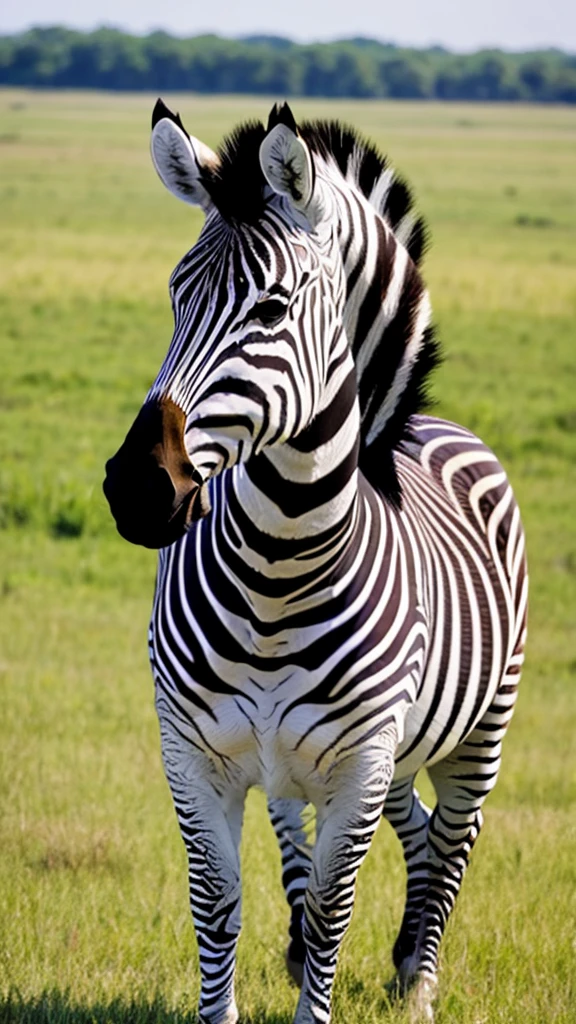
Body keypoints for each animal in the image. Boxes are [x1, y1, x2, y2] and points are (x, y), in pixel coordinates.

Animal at [101, 97, 524, 1024]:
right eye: (175, 296)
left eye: (272, 307)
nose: (139, 488)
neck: (276, 574)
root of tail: (431, 426)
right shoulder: (194, 755)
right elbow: (216, 903)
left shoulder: (360, 763)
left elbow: (333, 907)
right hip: (370, 756)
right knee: (410, 828)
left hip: (479, 728)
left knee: (454, 834)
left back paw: (419, 976)